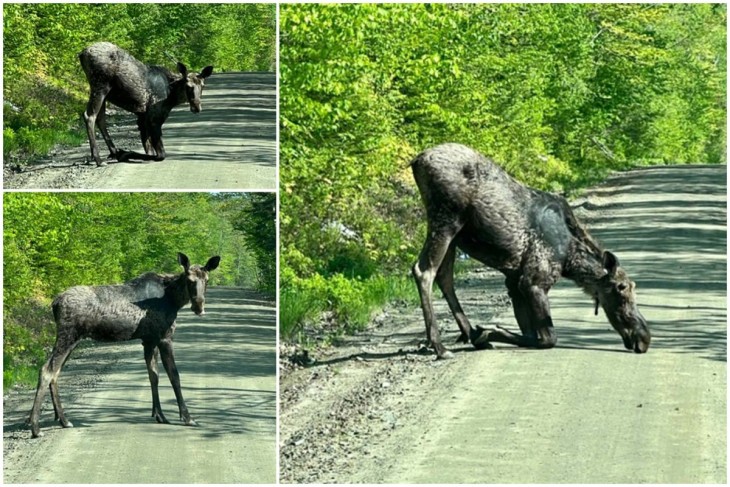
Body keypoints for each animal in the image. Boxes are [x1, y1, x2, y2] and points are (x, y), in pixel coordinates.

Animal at [27, 254, 219, 440]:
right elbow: (174, 376)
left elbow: (154, 376)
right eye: (190, 280)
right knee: (46, 370)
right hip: (68, 336)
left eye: (207, 280)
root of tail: (54, 303)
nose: (199, 307)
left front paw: (159, 415)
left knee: (55, 373)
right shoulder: (165, 338)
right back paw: (36, 428)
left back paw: (64, 420)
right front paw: (187, 418)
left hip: (74, 340)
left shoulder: (149, 340)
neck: (174, 299)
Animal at [79, 41, 213, 166]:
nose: (196, 107)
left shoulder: (142, 117)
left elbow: (149, 149)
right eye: (188, 86)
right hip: (100, 85)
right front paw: (125, 153)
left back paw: (112, 152)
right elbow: (160, 155)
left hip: (103, 92)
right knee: (89, 116)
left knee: (100, 118)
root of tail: (82, 54)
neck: (172, 95)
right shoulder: (153, 117)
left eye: (203, 85)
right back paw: (98, 159)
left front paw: (123, 153)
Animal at [410, 143, 648, 360]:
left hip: (454, 235)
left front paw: (484, 333)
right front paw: (488, 331)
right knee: (424, 270)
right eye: (621, 288)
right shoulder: (533, 282)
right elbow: (548, 338)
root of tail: (417, 160)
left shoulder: (514, 282)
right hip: (446, 220)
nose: (644, 338)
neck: (569, 259)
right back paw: (440, 347)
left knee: (444, 277)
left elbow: (530, 333)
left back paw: (468, 333)